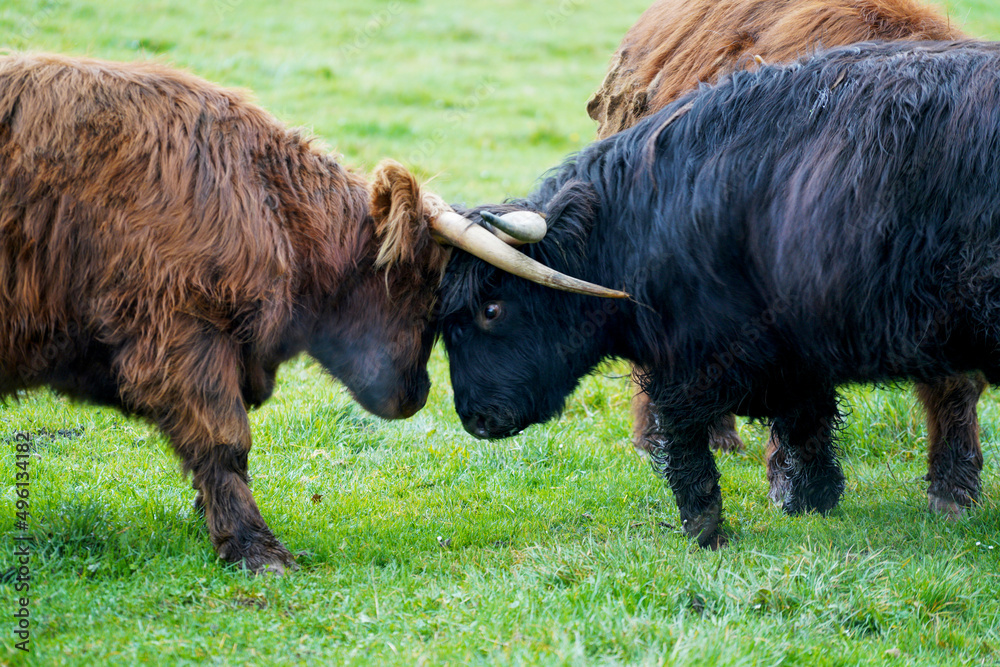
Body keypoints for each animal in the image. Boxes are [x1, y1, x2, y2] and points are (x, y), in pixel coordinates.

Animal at [0, 53, 619, 573]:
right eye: (427, 296)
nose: (416, 396)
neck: (265, 202)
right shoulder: (181, 336)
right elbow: (225, 442)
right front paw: (256, 549)